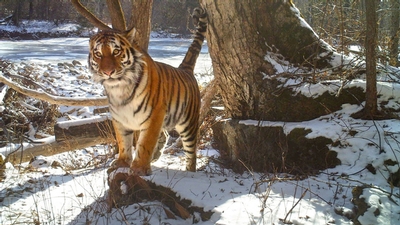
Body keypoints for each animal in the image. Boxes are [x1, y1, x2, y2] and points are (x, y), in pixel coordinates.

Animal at [87, 7, 206, 176]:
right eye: (98, 54)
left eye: (116, 52)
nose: (108, 72)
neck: (119, 89)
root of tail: (185, 69)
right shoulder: (119, 118)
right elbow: (123, 142)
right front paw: (122, 163)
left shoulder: (154, 115)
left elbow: (145, 144)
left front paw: (139, 169)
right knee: (165, 134)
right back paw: (156, 155)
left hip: (187, 124)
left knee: (191, 152)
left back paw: (190, 171)